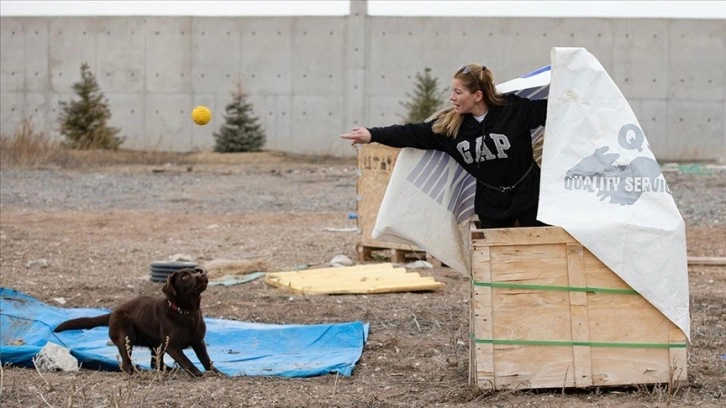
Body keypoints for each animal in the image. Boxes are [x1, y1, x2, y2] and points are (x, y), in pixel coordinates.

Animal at [54, 268, 220, 376]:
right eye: (185, 277)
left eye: (196, 271)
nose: (202, 274)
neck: (186, 312)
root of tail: (112, 314)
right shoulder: (173, 347)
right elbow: (186, 361)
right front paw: (197, 373)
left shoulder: (198, 342)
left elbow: (206, 360)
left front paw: (217, 372)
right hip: (126, 331)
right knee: (126, 363)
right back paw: (135, 370)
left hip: (156, 344)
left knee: (155, 363)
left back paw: (167, 369)